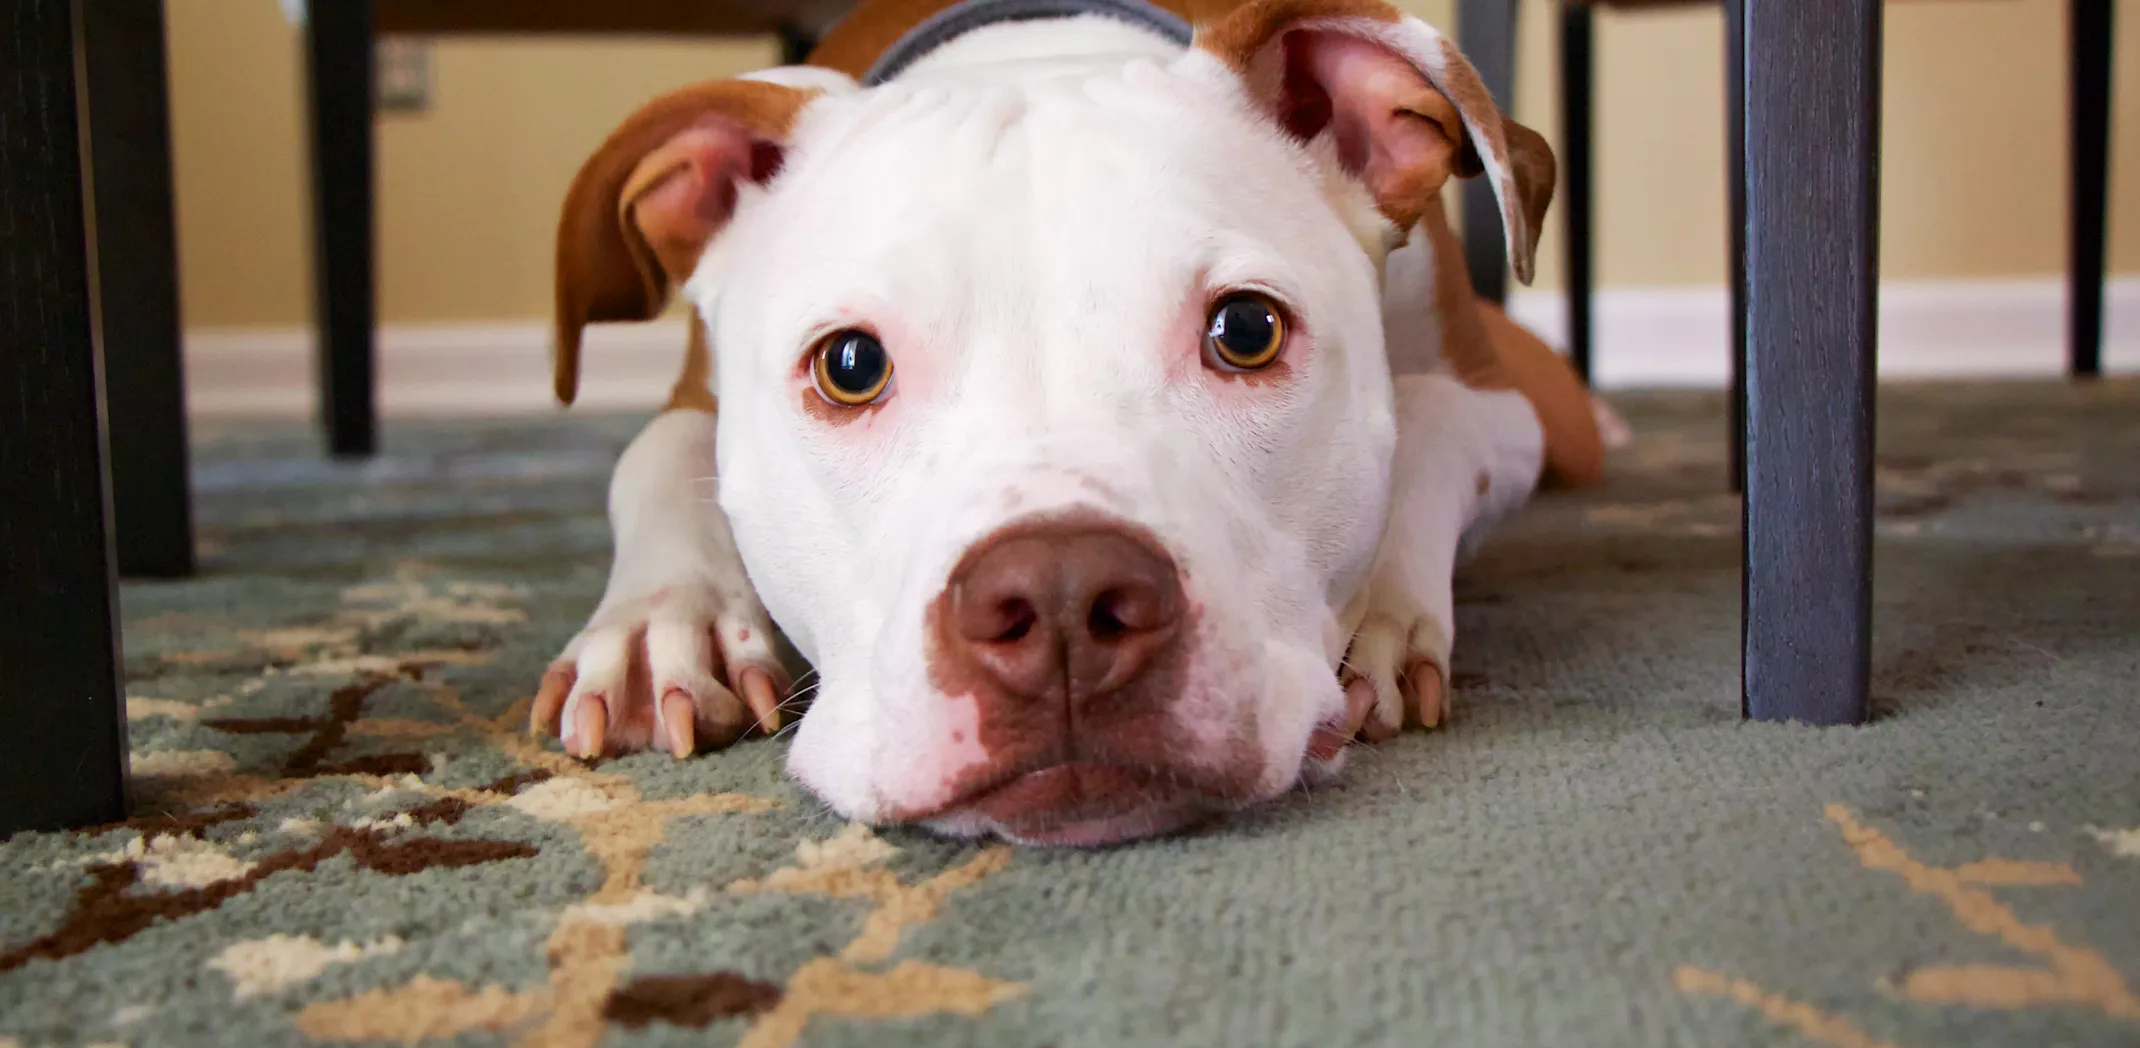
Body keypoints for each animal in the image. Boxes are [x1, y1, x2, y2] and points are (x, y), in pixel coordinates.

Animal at [530, 0, 1609, 842]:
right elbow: (654, 453)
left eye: (1247, 329)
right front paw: (662, 625)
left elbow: (1427, 419)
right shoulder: (693, 398)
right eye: (849, 365)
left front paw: (1379, 612)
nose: (1058, 599)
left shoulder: (1502, 404)